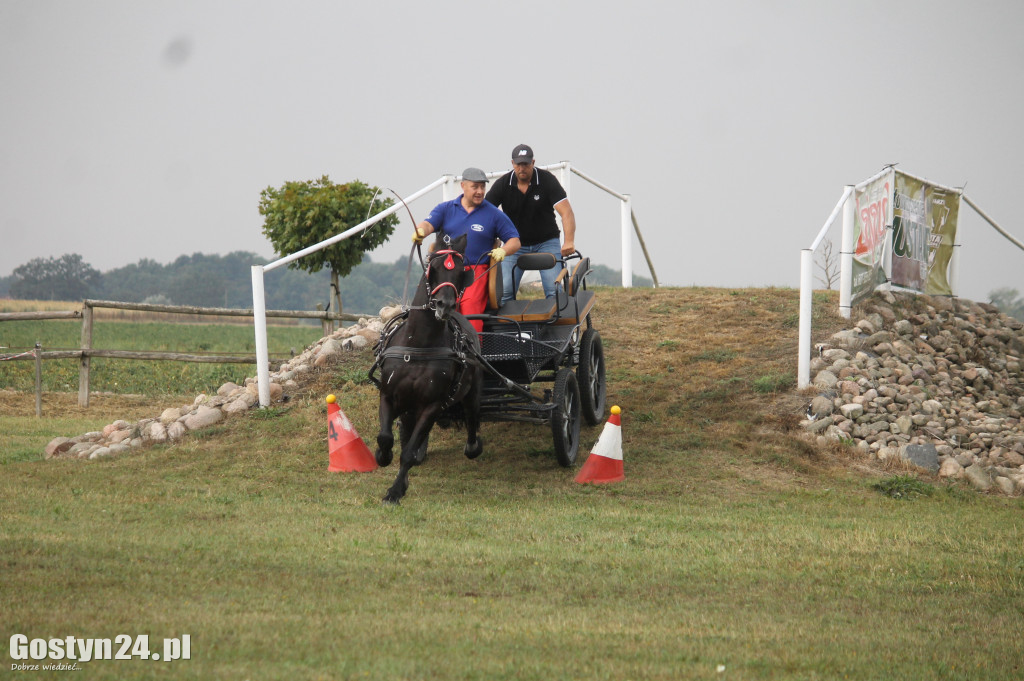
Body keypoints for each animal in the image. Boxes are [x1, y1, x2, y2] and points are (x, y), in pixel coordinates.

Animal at [372, 233, 483, 503]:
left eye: (461, 271)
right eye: (434, 267)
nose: (445, 305)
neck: (419, 345)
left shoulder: (432, 406)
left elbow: (409, 452)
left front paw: (395, 491)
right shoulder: (388, 395)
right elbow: (386, 437)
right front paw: (383, 456)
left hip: (470, 393)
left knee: (472, 419)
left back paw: (473, 447)